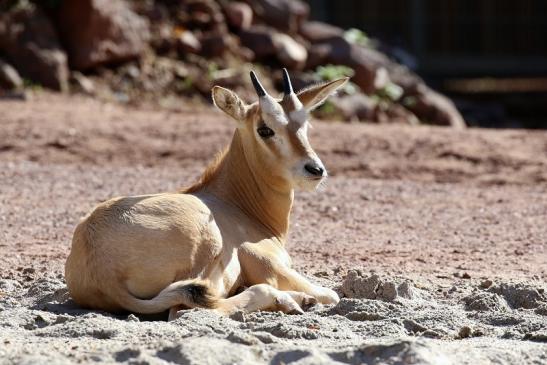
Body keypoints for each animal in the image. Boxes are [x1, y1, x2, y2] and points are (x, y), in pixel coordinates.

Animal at [64, 69, 346, 318]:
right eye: (265, 129)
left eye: (305, 125)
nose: (315, 169)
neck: (235, 202)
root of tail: (102, 270)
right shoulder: (268, 264)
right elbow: (332, 295)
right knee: (187, 308)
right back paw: (289, 301)